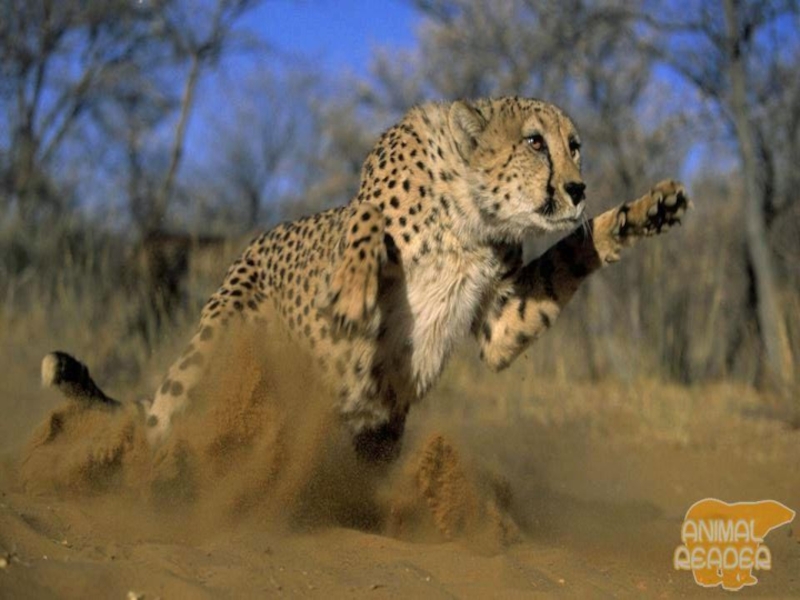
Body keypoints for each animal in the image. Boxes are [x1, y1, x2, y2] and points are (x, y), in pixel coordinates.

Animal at [42, 97, 691, 463]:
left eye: (575, 146)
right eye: (535, 142)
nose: (578, 188)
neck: (471, 213)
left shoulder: (501, 323)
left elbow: (572, 252)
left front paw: (644, 212)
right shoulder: (363, 209)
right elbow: (364, 223)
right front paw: (354, 290)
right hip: (214, 349)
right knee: (166, 418)